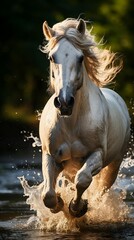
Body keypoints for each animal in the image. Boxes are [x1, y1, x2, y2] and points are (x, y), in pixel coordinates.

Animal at [39, 18, 130, 218]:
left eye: (80, 58)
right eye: (51, 58)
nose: (64, 102)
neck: (72, 124)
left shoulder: (96, 154)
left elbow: (83, 180)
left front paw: (77, 208)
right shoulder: (51, 156)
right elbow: (47, 195)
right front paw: (59, 203)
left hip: (113, 165)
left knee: (100, 189)